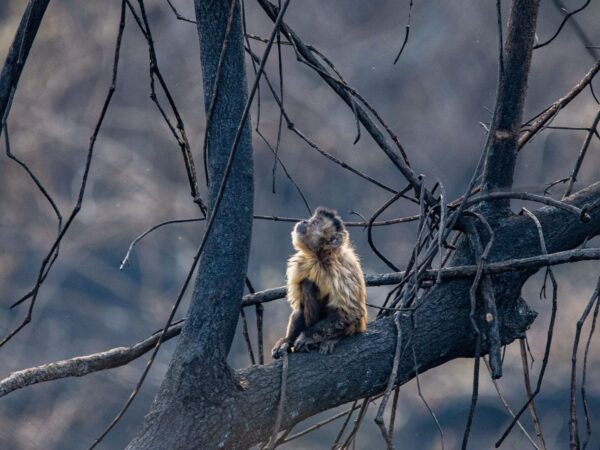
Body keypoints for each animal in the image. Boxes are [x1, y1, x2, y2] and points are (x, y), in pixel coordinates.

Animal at [270, 207, 366, 358]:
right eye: (311, 219)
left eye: (315, 223)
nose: (305, 221)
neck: (320, 257)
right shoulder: (300, 266)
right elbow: (300, 307)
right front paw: (287, 341)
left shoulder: (338, 271)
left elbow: (349, 313)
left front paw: (307, 337)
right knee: (307, 284)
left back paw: (332, 338)